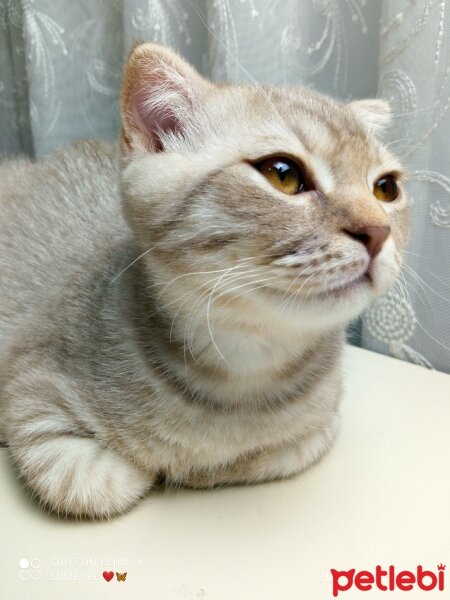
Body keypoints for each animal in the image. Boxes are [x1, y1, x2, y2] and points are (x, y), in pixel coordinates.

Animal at [0, 44, 408, 516]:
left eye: (385, 188)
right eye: (283, 173)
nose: (377, 231)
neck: (247, 368)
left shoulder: (319, 426)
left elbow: (278, 451)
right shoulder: (32, 395)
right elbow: (95, 482)